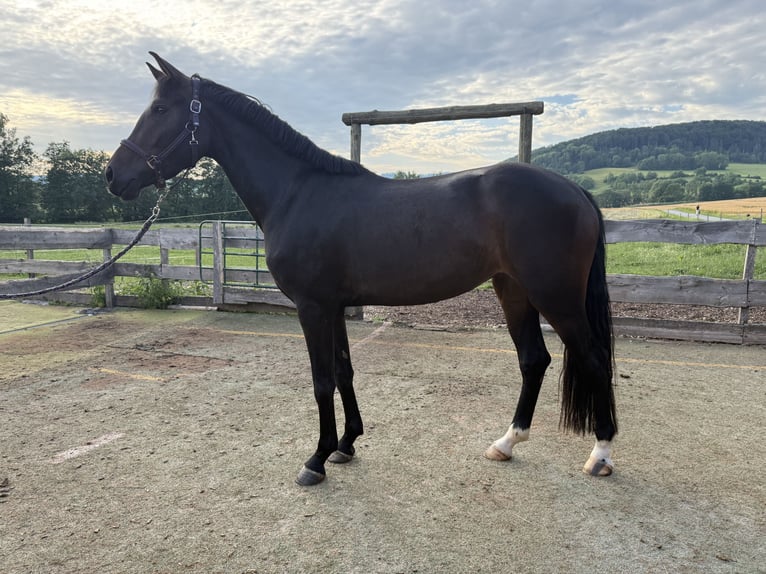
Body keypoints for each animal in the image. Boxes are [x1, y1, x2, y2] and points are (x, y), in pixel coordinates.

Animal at [105, 53, 618, 486]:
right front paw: (346, 445)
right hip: (513, 290)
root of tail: (575, 190)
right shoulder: (334, 306)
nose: (113, 175)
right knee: (534, 360)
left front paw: (315, 459)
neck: (298, 192)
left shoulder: (312, 307)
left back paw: (600, 453)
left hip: (555, 296)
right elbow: (344, 371)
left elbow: (321, 380)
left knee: (593, 357)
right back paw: (507, 443)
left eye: (160, 109)